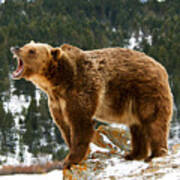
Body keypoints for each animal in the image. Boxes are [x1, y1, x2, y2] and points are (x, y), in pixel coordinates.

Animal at [10, 41, 173, 169]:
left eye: (32, 50)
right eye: (26, 45)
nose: (15, 48)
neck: (58, 82)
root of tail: (161, 67)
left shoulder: (81, 89)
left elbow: (81, 123)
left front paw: (70, 160)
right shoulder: (57, 102)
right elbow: (65, 127)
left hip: (145, 91)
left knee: (153, 121)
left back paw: (155, 154)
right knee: (137, 126)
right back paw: (134, 154)